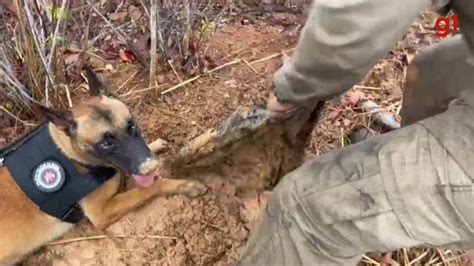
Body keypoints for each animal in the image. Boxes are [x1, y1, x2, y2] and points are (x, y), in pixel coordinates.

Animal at [0, 68, 207, 264]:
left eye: (131, 126)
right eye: (106, 143)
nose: (150, 166)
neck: (69, 153)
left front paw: (155, 145)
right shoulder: (102, 212)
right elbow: (150, 187)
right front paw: (183, 185)